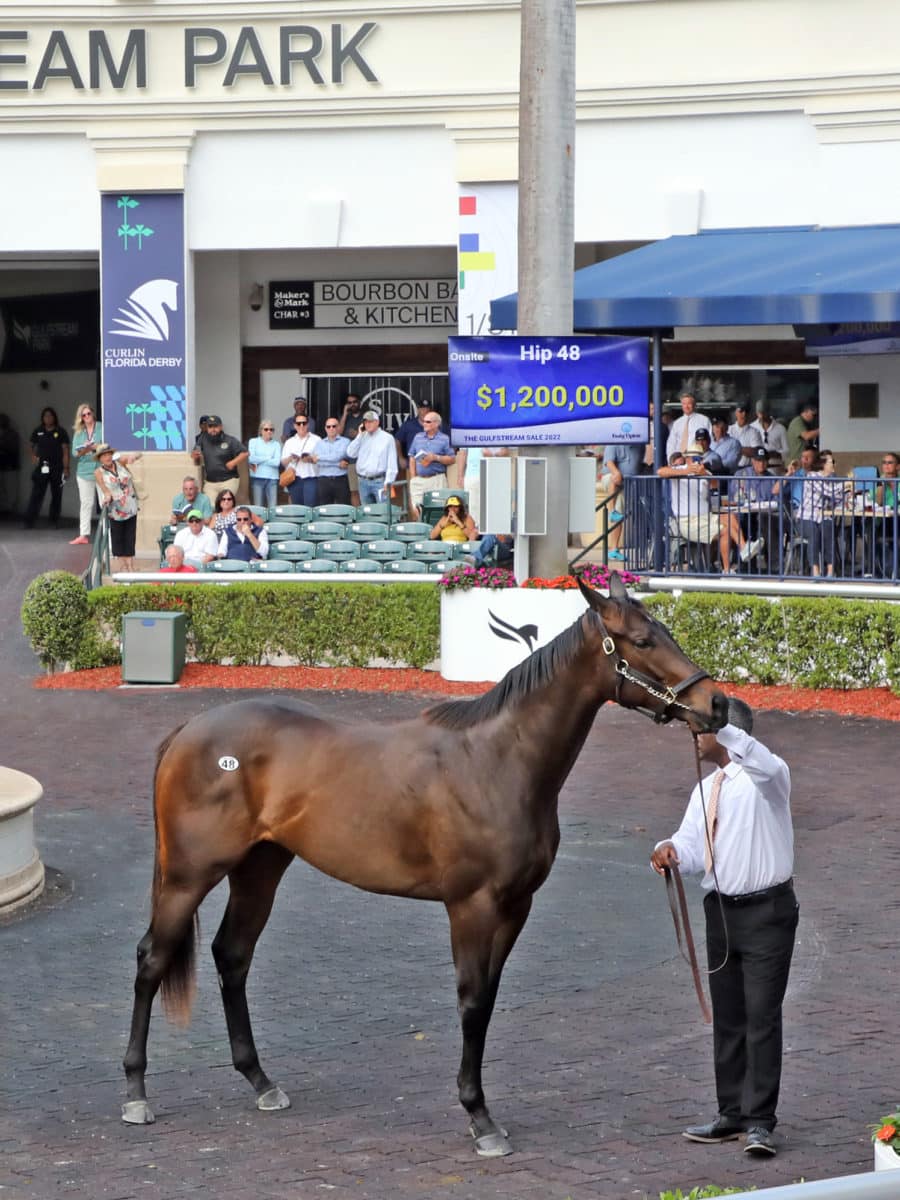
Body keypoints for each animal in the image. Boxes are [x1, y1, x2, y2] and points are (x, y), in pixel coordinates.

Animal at [121, 576, 724, 1156]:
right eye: (642, 641)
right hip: (188, 876)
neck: (497, 761)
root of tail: (189, 731)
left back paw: (261, 1081)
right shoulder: (471, 907)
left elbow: (488, 1000)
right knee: (152, 959)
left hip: (260, 868)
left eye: (665, 630)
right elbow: (472, 1001)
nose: (717, 704)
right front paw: (480, 1119)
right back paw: (135, 1093)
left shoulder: (515, 907)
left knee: (233, 955)